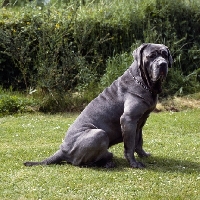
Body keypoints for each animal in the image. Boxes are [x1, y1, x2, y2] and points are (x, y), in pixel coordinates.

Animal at [24, 43, 173, 168]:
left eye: (165, 54)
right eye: (151, 56)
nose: (162, 64)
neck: (144, 82)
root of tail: (62, 150)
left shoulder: (141, 120)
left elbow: (139, 140)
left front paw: (144, 155)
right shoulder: (128, 119)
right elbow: (130, 145)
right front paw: (134, 163)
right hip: (99, 134)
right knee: (80, 162)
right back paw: (107, 161)